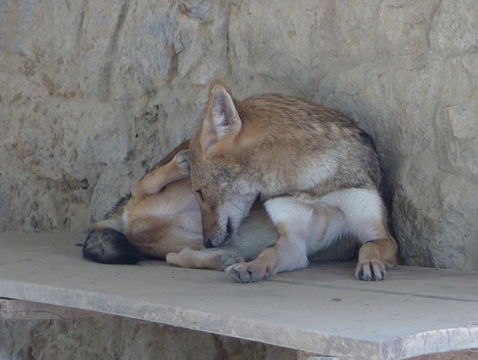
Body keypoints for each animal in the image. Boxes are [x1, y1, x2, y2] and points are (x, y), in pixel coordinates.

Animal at [83, 141, 358, 270]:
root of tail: (119, 218)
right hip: (196, 185)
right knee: (139, 188)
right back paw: (180, 164)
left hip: (196, 237)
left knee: (175, 255)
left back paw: (218, 260)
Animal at [189, 80, 398, 282]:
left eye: (199, 192)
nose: (207, 242)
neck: (306, 183)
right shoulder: (293, 241)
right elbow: (268, 253)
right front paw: (250, 267)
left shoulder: (379, 233)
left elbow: (369, 246)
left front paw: (370, 264)